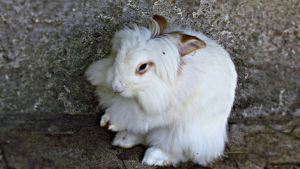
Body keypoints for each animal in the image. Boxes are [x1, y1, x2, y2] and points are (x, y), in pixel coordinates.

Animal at [85, 15, 237, 166]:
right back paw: (123, 139)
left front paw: (113, 124)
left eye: (143, 67)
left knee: (179, 151)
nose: (116, 86)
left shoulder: (155, 112)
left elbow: (130, 117)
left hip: (185, 134)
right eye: (117, 56)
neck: (137, 94)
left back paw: (153, 157)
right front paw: (106, 120)